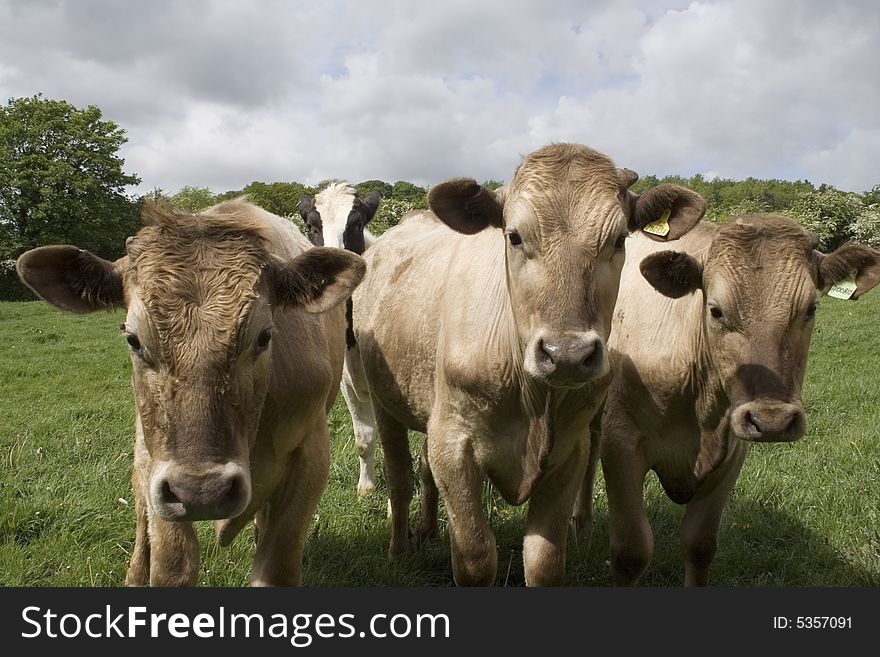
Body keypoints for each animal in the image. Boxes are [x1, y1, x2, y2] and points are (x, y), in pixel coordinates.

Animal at [17, 200, 368, 584]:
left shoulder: (311, 454)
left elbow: (275, 564)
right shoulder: (157, 467)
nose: (202, 491)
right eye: (133, 339)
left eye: (264, 336)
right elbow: (172, 563)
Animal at [354, 142, 704, 584]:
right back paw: (399, 549)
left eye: (619, 239)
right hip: (384, 399)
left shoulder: (569, 451)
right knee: (399, 476)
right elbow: (474, 556)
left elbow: (544, 561)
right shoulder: (453, 442)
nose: (567, 354)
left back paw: (429, 529)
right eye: (515, 236)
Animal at [580, 214, 880, 584]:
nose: (772, 420)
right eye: (716, 310)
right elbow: (631, 553)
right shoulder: (622, 443)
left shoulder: (733, 451)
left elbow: (699, 545)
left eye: (810, 308)